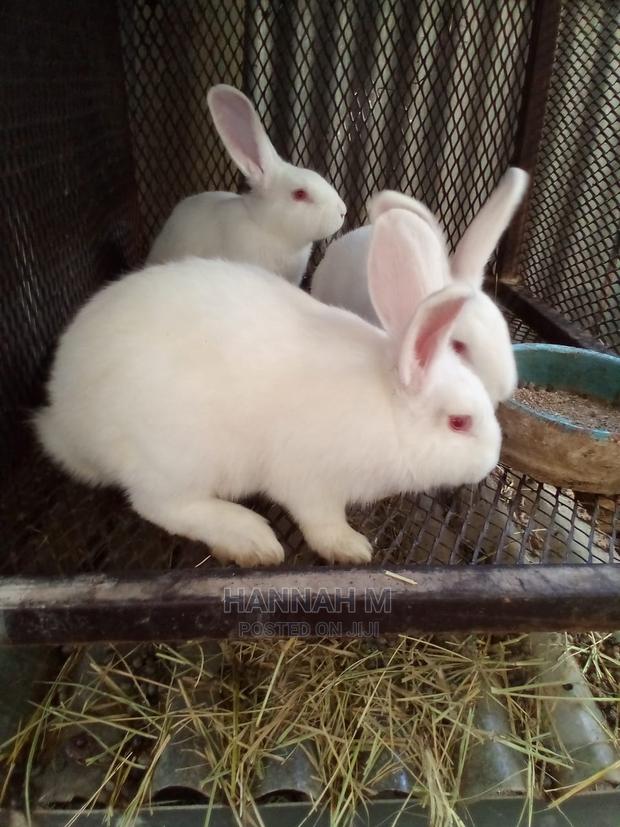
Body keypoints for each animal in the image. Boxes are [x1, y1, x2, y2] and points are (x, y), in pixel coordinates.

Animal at [34, 209, 501, 569]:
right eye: (459, 422)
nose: (491, 461)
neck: (386, 407)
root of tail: (63, 415)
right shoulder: (310, 480)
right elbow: (321, 520)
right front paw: (351, 547)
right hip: (178, 456)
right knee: (159, 504)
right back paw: (250, 538)